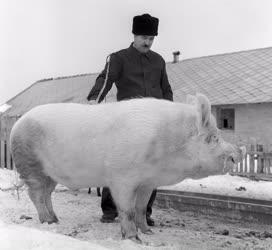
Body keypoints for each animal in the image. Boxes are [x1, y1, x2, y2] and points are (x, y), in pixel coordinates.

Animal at [10, 93, 244, 242]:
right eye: (213, 138)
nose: (237, 154)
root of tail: (16, 125)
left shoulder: (148, 182)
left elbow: (141, 207)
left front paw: (148, 232)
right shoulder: (122, 177)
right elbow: (127, 209)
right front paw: (134, 239)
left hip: (50, 175)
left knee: (47, 195)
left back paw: (56, 219)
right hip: (31, 166)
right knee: (36, 194)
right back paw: (48, 222)